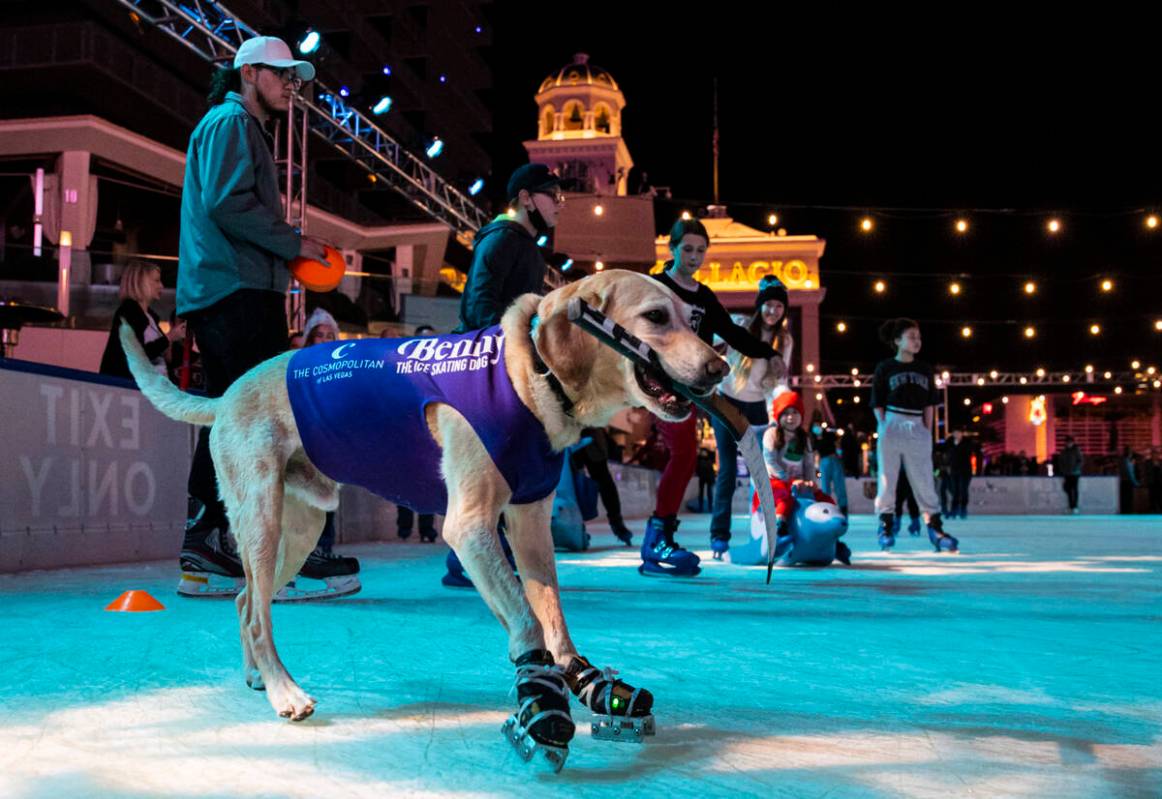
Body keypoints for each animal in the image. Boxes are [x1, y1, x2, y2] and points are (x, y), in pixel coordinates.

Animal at [124, 269, 725, 766]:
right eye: (655, 317)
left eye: (691, 318)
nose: (720, 367)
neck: (530, 370)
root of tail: (225, 395)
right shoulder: (472, 527)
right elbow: (527, 620)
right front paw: (540, 695)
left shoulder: (529, 526)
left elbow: (552, 615)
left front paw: (579, 678)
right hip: (263, 520)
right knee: (255, 614)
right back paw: (284, 690)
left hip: (298, 530)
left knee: (249, 599)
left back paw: (256, 676)